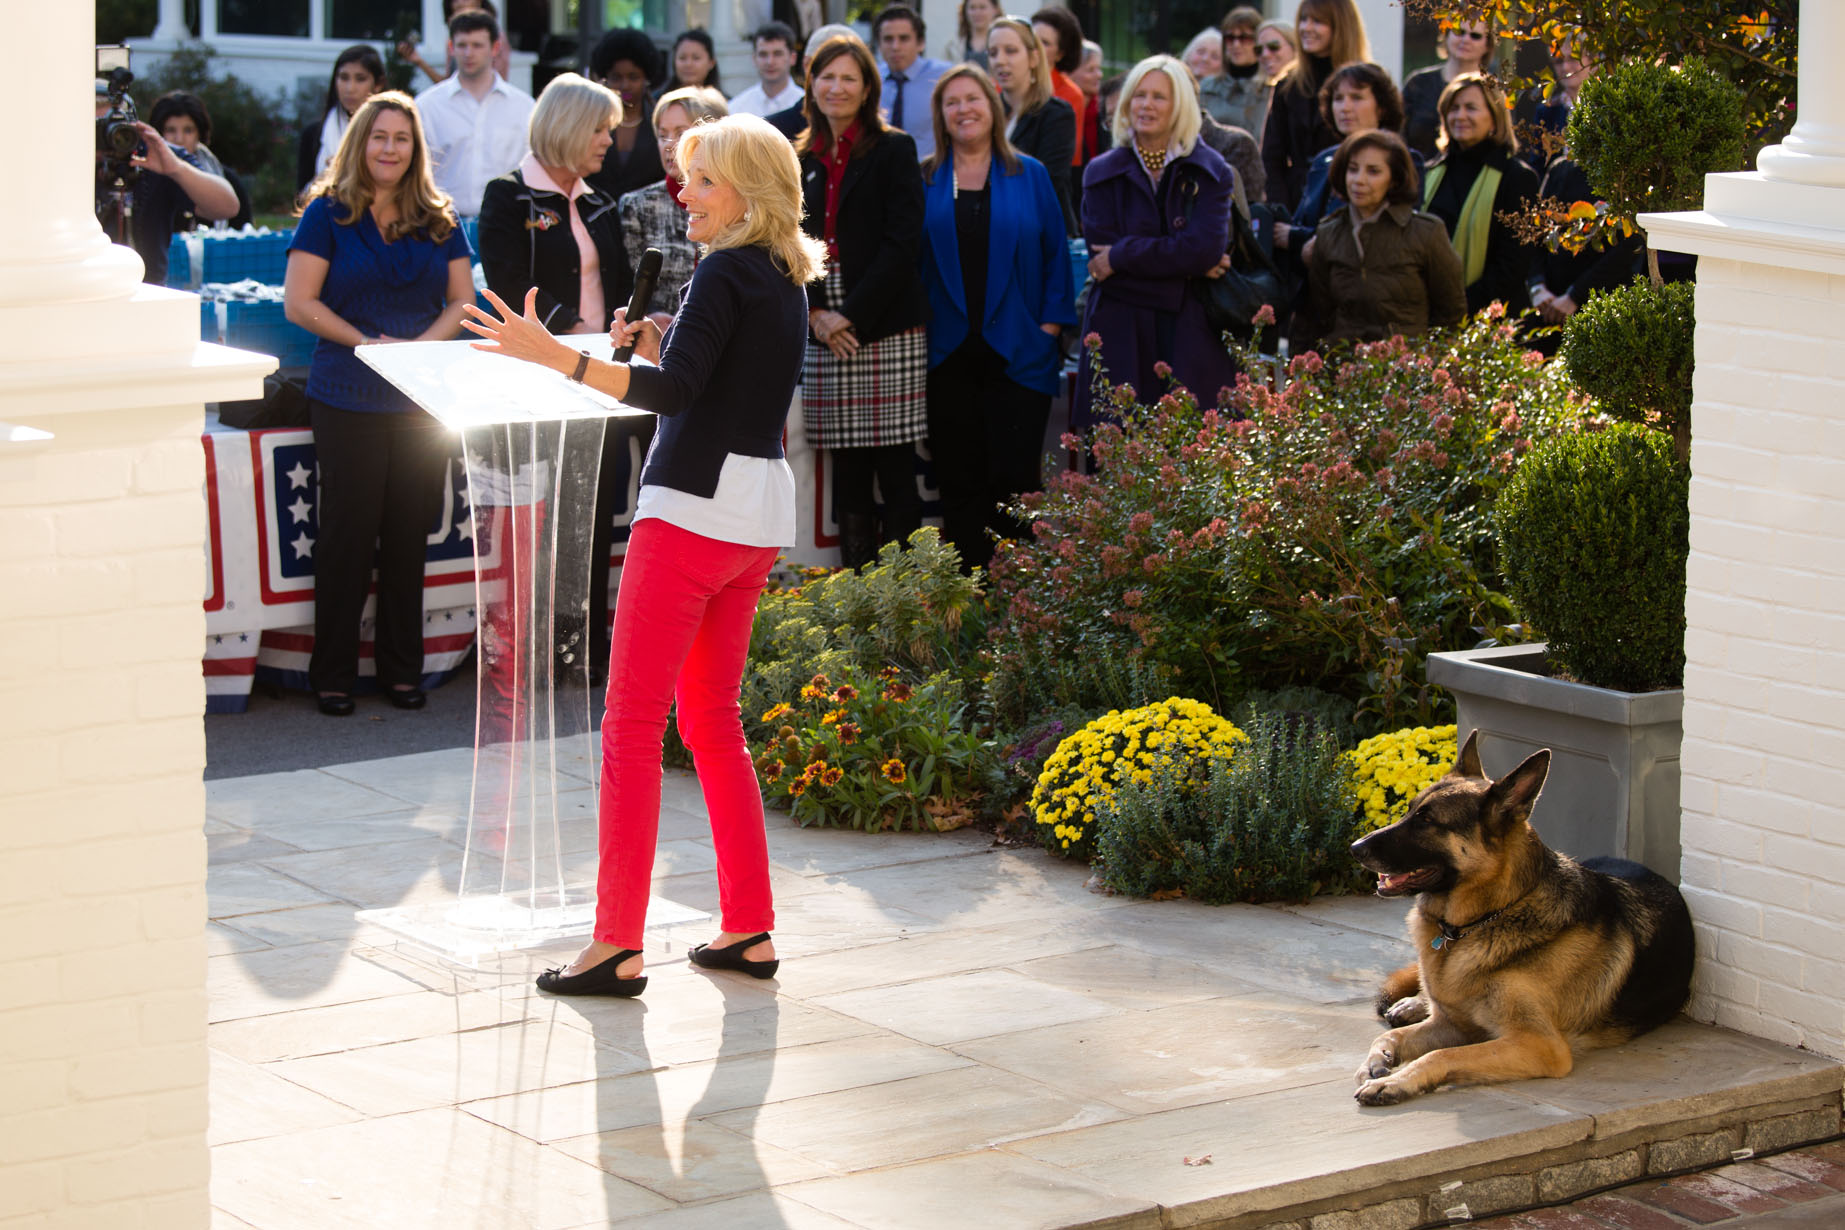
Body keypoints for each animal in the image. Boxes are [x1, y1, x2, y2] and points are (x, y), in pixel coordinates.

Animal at [1350, 730, 1690, 1106]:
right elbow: (1387, 1039)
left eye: (1427, 821)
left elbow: (1443, 1055)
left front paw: (1396, 1082)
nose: (1354, 847)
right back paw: (1412, 1002)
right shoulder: (1454, 1025)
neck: (1485, 918)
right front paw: (1376, 1063)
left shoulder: (1538, 1045)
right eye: (1410, 810)